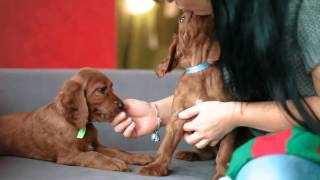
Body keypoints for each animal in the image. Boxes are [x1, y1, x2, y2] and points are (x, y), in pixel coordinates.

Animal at [0, 67, 152, 172]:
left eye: (111, 87)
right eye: (102, 89)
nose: (123, 106)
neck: (80, 125)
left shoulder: (95, 145)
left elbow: (117, 151)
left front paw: (139, 157)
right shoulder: (69, 155)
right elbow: (93, 155)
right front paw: (114, 162)